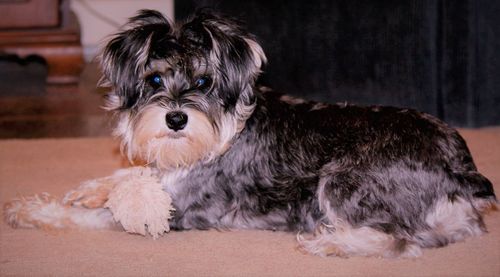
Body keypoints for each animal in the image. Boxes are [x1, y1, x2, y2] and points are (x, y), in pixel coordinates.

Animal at [3, 10, 496, 256]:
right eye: (155, 79)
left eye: (204, 82)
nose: (176, 120)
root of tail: (462, 170)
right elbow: (129, 177)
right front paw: (88, 188)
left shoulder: (180, 210)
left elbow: (101, 216)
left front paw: (32, 210)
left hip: (343, 181)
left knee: (401, 239)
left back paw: (330, 241)